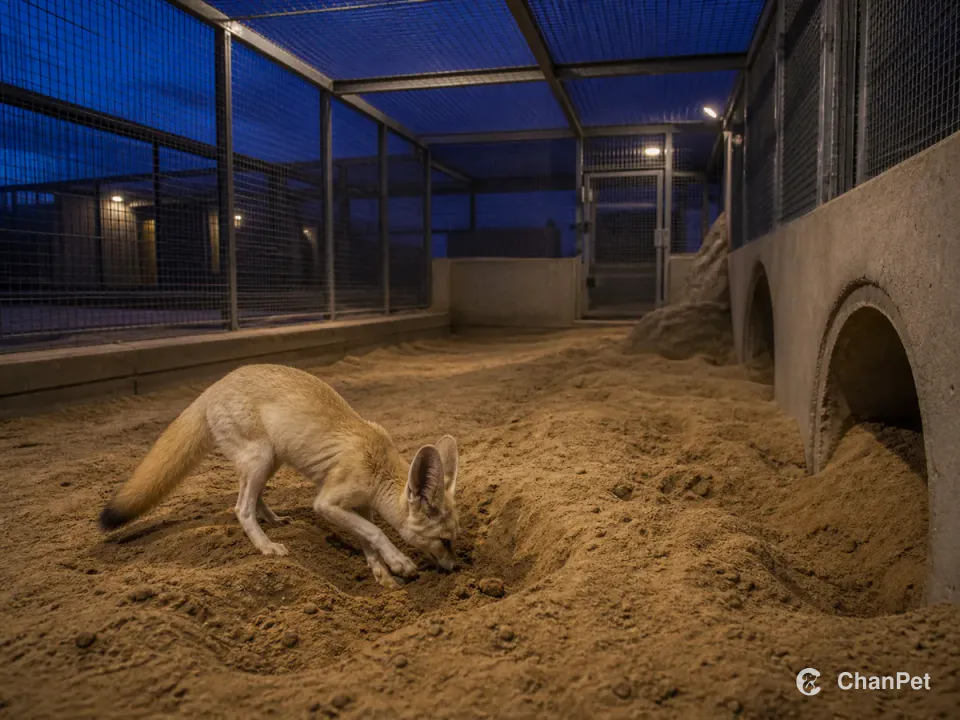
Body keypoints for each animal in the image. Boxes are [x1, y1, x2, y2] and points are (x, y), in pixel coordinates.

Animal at [98, 363, 461, 589]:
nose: (457, 568)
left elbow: (368, 539)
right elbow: (377, 533)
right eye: (445, 541)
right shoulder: (327, 503)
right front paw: (400, 562)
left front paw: (384, 574)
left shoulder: (359, 508)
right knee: (241, 508)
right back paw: (266, 546)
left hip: (270, 460)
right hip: (260, 458)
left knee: (254, 498)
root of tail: (215, 385)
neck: (377, 466)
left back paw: (274, 520)